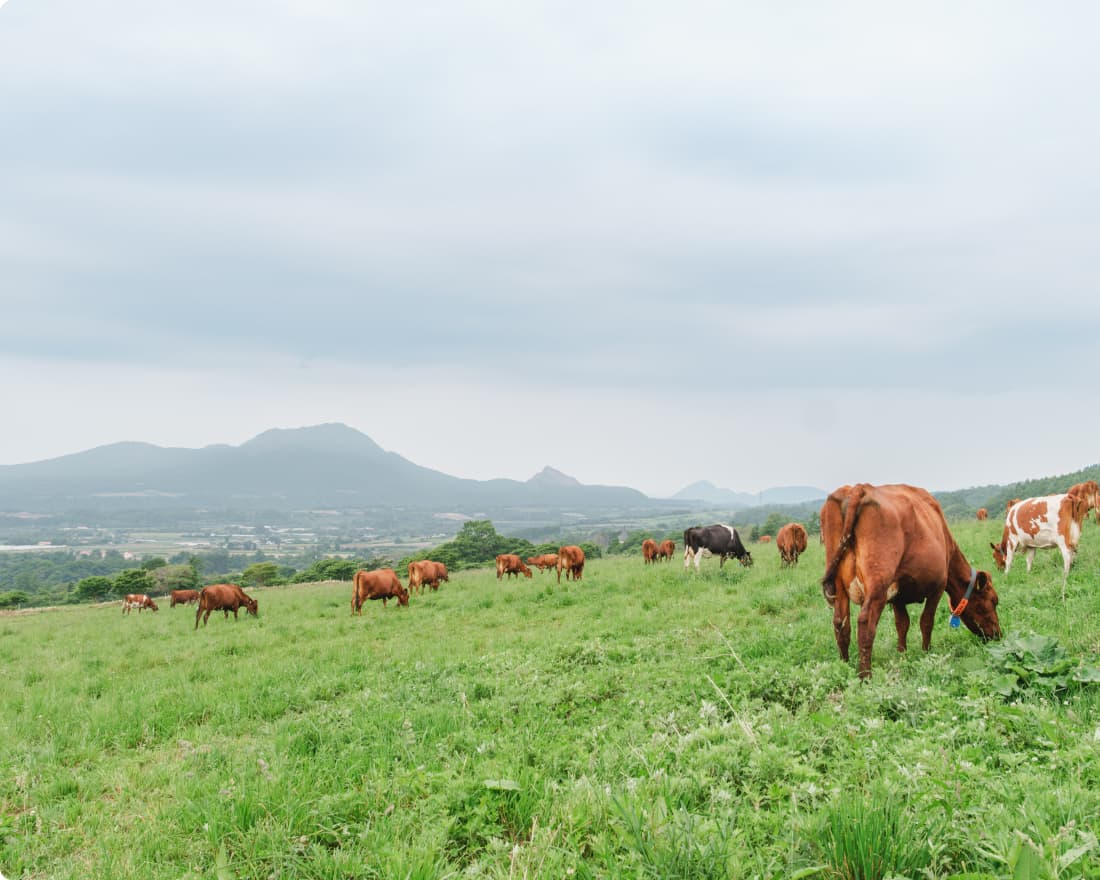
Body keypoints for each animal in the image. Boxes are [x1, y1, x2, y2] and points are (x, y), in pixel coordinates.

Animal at [822, 481, 1003, 682]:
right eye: (993, 601)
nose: (998, 634)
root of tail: (859, 488)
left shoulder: (897, 595)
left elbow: (902, 624)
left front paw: (902, 655)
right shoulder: (938, 586)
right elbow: (926, 622)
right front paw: (926, 653)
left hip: (839, 586)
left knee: (840, 624)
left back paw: (844, 666)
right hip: (878, 583)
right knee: (865, 625)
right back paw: (865, 677)